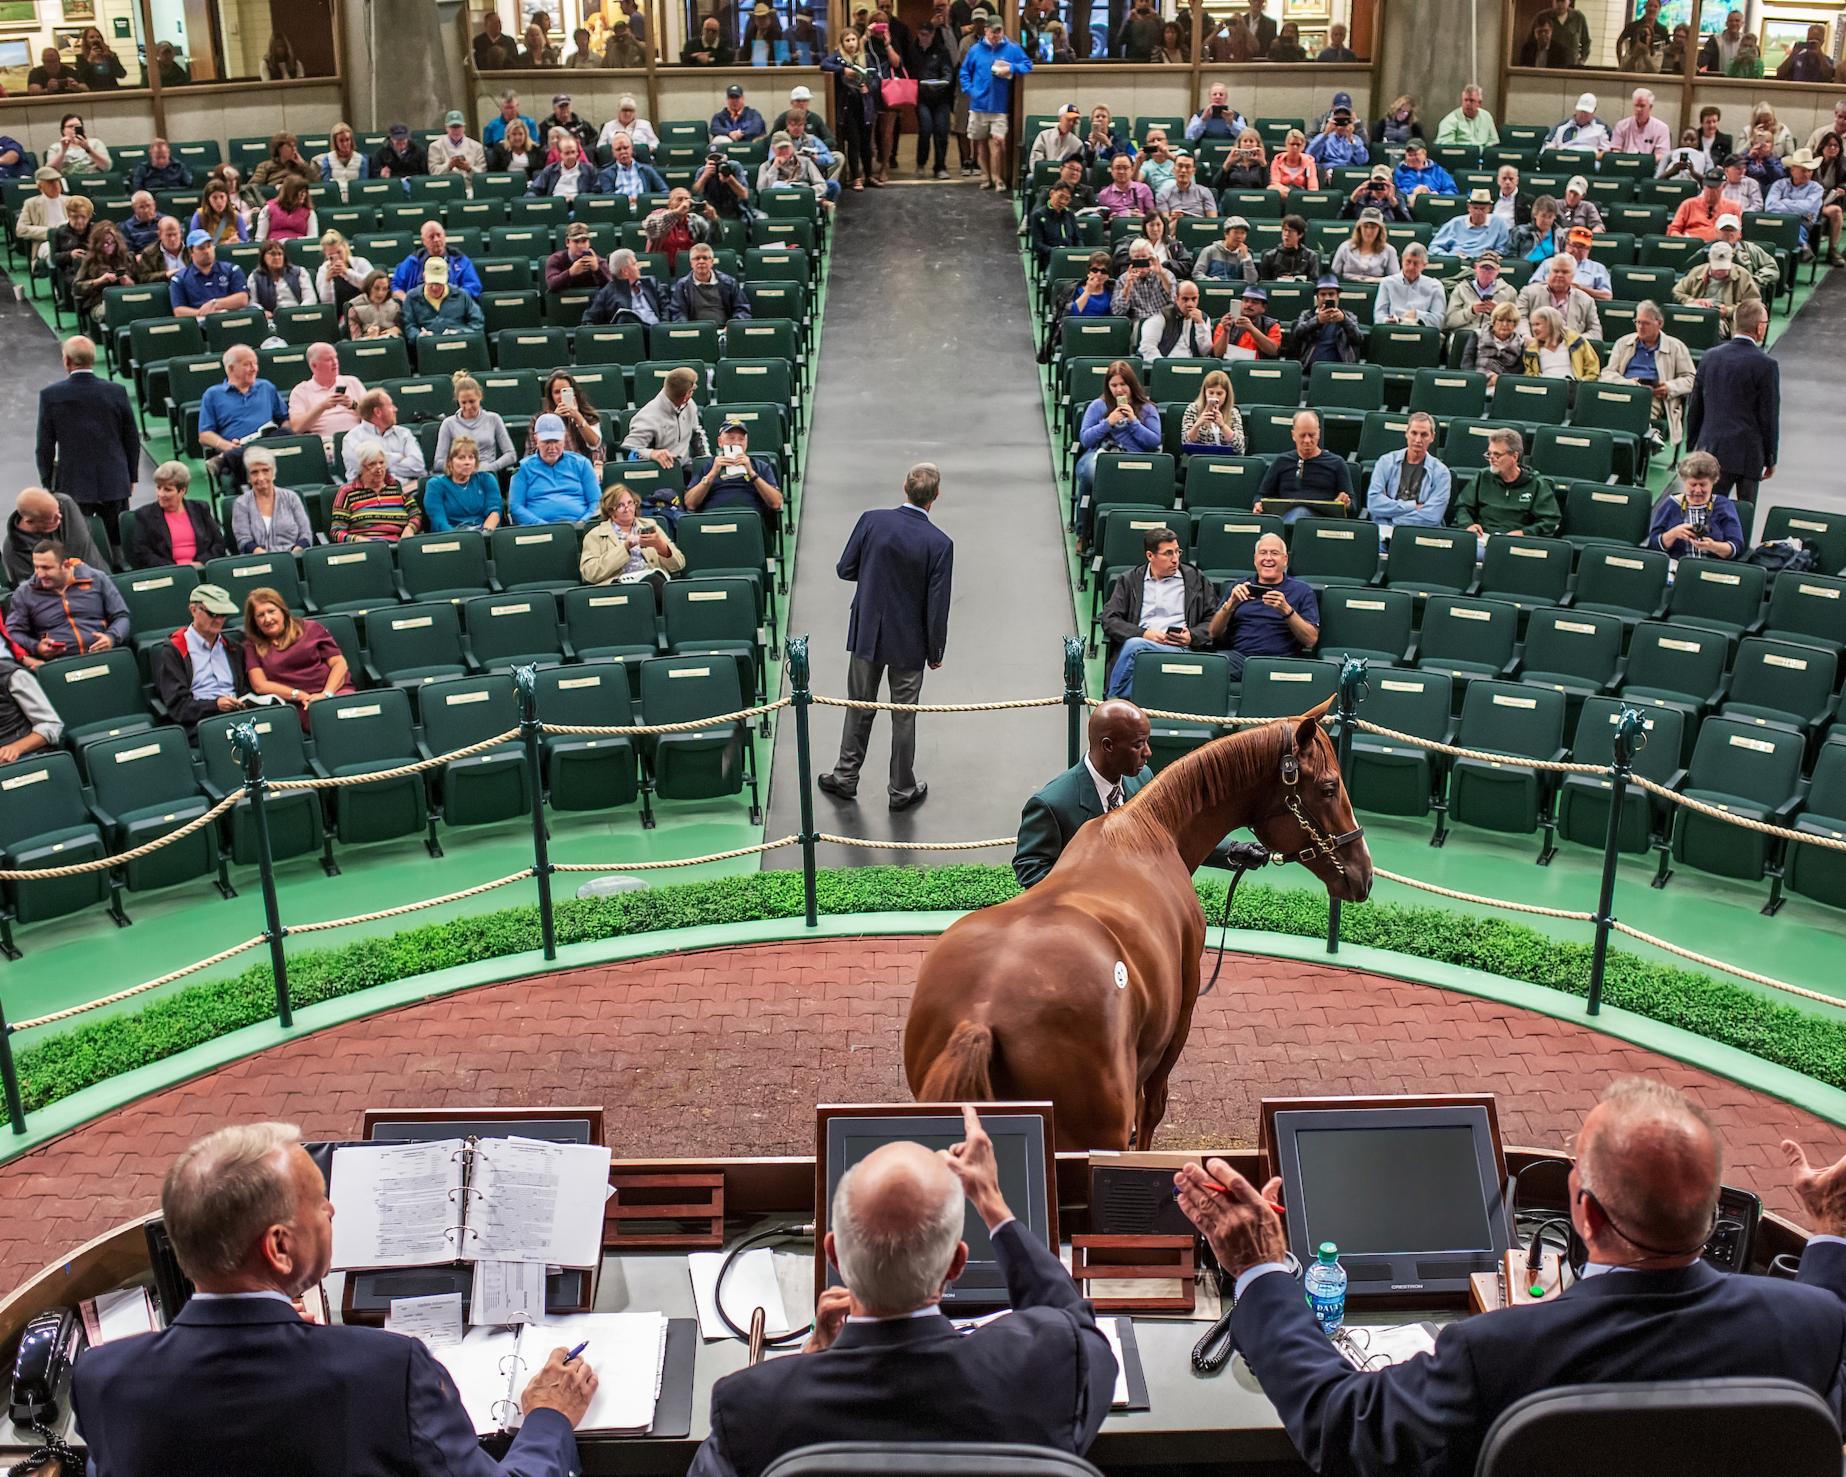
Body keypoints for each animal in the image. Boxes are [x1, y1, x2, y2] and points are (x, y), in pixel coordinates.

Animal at [908, 705, 1373, 1152]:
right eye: (1329, 787)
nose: (1364, 874)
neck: (1147, 830)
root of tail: (980, 1016)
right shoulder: (1181, 1016)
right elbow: (1152, 1107)